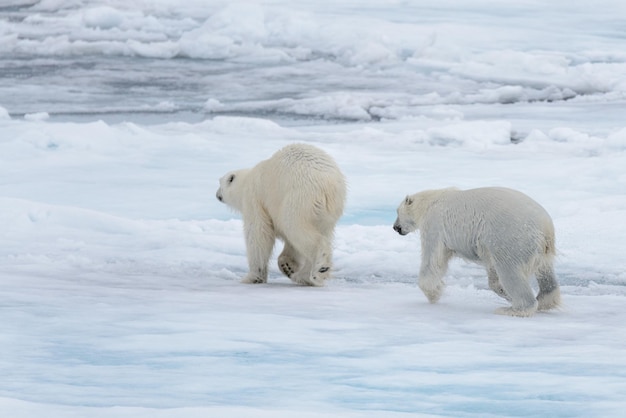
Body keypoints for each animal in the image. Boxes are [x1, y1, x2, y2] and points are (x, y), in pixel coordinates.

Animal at [217, 145, 346, 288]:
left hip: (298, 200)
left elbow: (258, 234)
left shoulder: (254, 199)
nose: (217, 195)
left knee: (295, 228)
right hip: (328, 213)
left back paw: (319, 269)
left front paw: (252, 277)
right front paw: (288, 266)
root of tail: (328, 187)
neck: (246, 180)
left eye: (220, 185)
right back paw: (304, 275)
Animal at [392, 186, 560, 316]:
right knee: (545, 273)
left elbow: (433, 260)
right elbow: (491, 271)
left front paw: (435, 294)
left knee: (510, 270)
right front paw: (503, 291)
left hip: (511, 238)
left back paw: (513, 309)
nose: (395, 227)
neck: (430, 201)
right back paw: (544, 301)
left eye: (397, 212)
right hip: (540, 248)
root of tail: (545, 226)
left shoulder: (435, 224)